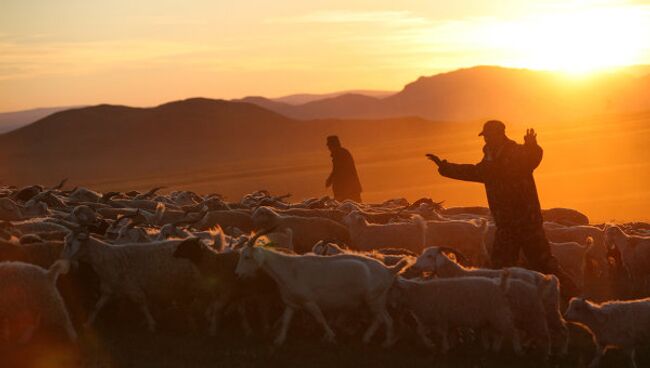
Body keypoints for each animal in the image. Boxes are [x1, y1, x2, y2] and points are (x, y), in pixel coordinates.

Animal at [234, 243, 404, 346]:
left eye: (247, 257)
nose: (237, 274)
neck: (289, 268)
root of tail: (390, 270)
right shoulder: (292, 303)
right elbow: (286, 321)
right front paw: (279, 340)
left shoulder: (309, 301)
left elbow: (320, 318)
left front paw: (331, 337)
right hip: (376, 300)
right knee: (379, 319)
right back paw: (366, 338)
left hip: (375, 299)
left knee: (386, 320)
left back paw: (386, 343)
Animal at [388, 272, 520, 356]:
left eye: (393, 289)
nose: (390, 304)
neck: (418, 294)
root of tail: (500, 286)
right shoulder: (427, 319)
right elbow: (420, 332)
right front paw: (431, 345)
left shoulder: (441, 318)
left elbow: (442, 333)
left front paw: (444, 348)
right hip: (492, 317)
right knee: (498, 333)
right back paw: (492, 348)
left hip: (498, 313)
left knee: (511, 332)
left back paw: (514, 350)